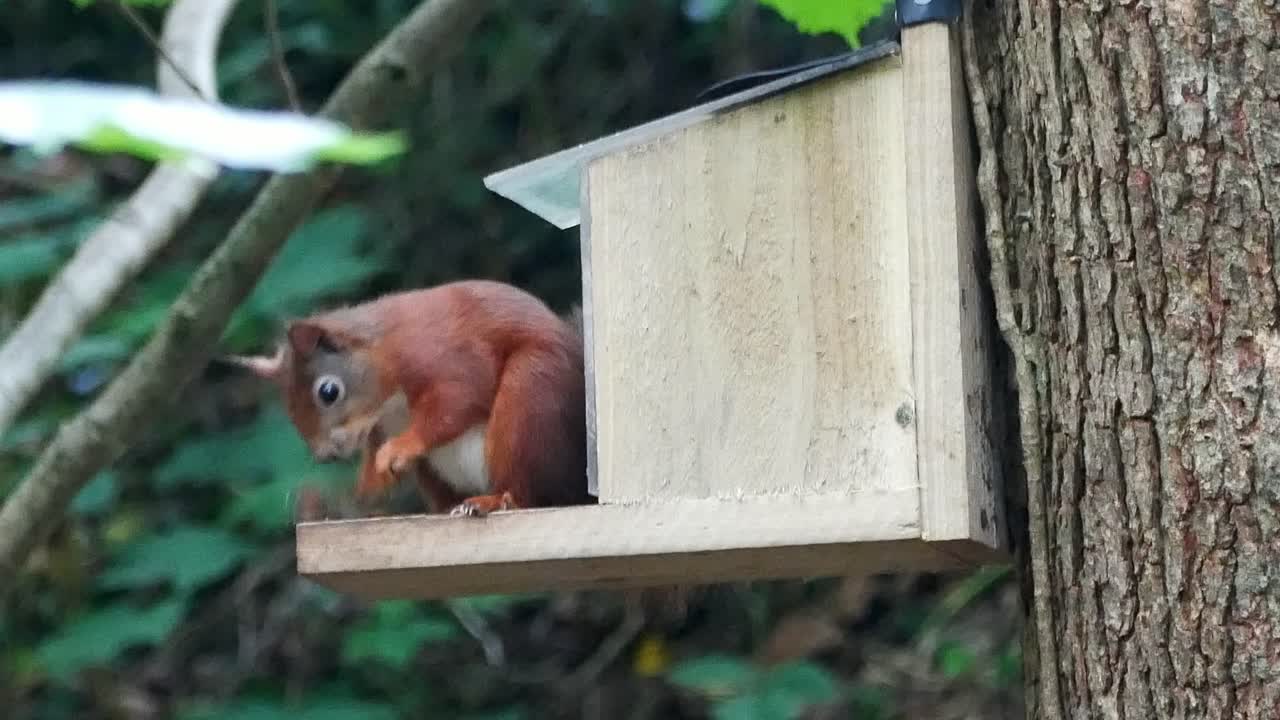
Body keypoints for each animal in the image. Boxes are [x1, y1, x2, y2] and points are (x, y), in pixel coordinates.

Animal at [226, 279, 593, 517]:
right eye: (288, 409)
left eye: (329, 392)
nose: (325, 456)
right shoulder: (378, 425)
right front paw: (368, 482)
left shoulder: (445, 357)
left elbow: (456, 401)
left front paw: (400, 448)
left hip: (529, 400)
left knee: (529, 494)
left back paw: (496, 501)